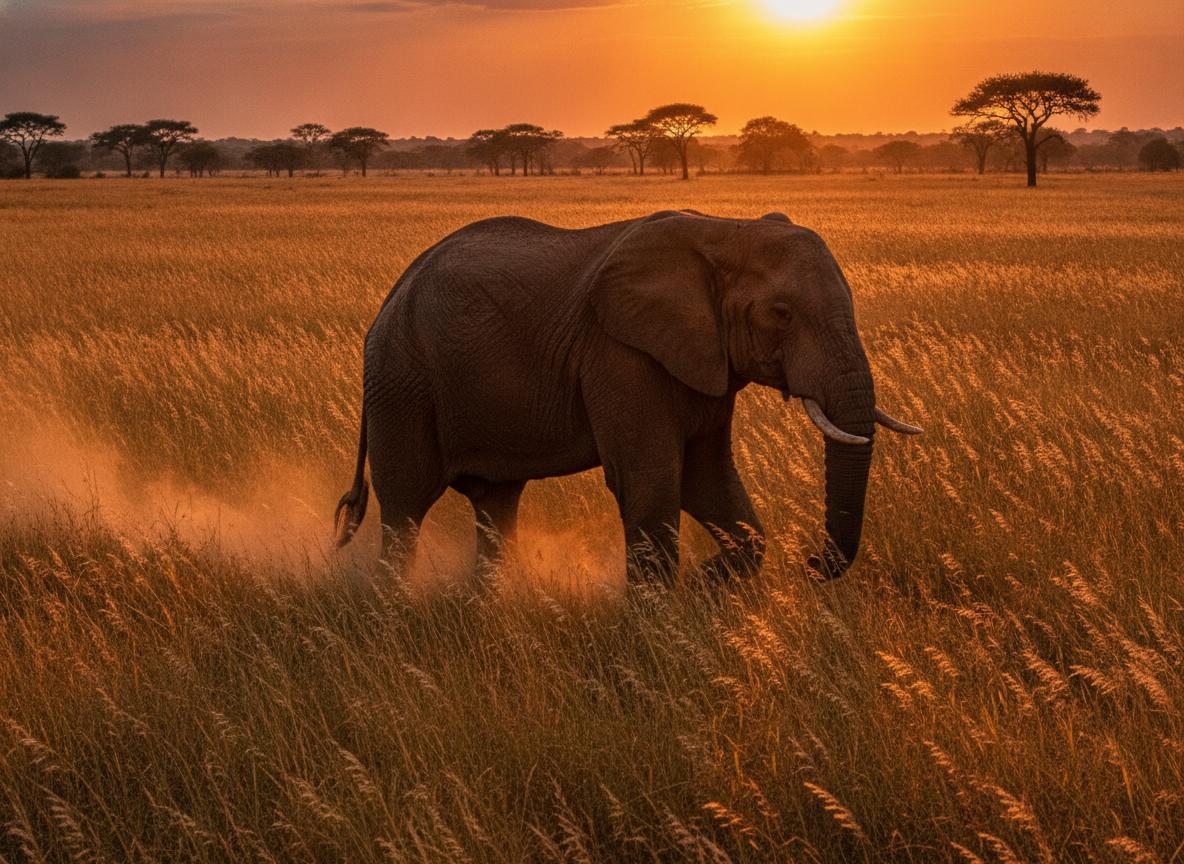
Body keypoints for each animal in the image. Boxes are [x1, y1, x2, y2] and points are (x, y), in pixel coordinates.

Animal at [335, 209, 920, 585]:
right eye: (782, 313)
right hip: (401, 381)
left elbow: (707, 479)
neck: (726, 229)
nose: (812, 566)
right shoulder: (619, 352)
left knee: (495, 504)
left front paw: (704, 587)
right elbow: (651, 479)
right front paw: (662, 633)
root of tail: (393, 292)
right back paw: (396, 611)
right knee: (406, 506)